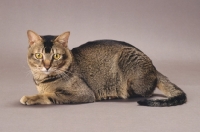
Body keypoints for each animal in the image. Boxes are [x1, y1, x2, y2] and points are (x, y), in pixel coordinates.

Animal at [19, 30, 187, 106]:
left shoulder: (83, 94)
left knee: (143, 93)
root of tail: (154, 67)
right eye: (39, 55)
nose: (47, 66)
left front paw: (30, 98)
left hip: (126, 60)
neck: (43, 80)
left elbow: (50, 95)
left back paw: (113, 95)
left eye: (56, 56)